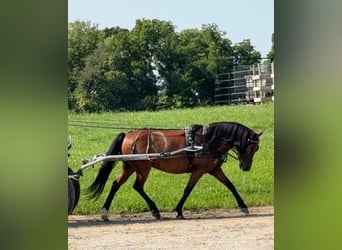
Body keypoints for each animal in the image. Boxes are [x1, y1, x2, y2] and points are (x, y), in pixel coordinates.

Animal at [87, 121, 262, 221]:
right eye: (252, 147)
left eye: (257, 148)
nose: (246, 167)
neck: (208, 140)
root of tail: (128, 135)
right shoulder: (198, 171)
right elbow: (187, 190)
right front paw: (178, 210)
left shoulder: (214, 170)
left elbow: (230, 185)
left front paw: (243, 206)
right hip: (143, 168)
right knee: (138, 186)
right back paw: (155, 210)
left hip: (129, 167)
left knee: (116, 184)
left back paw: (105, 212)